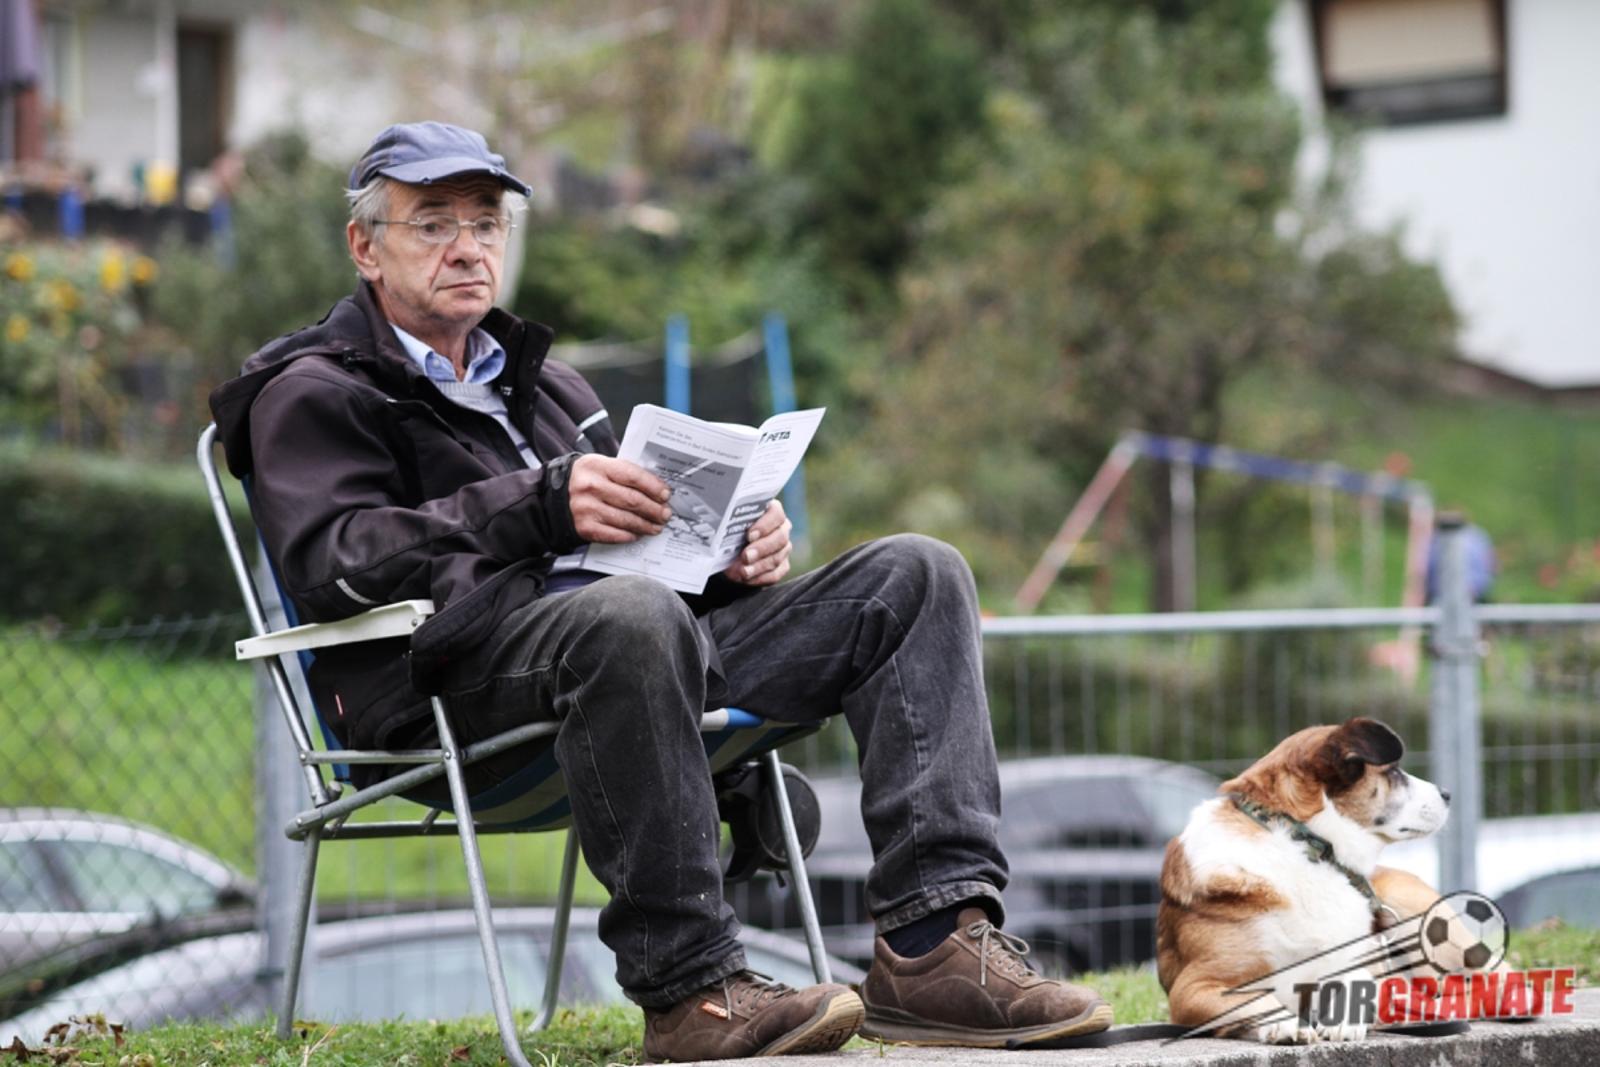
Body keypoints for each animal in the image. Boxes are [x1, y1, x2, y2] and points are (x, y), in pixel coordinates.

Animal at [1156, 717, 1451, 1043]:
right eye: (1394, 772)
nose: (1448, 794)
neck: (1304, 843)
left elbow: (1360, 976)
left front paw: (1344, 1015)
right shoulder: (1193, 988)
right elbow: (1257, 998)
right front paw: (1287, 1023)